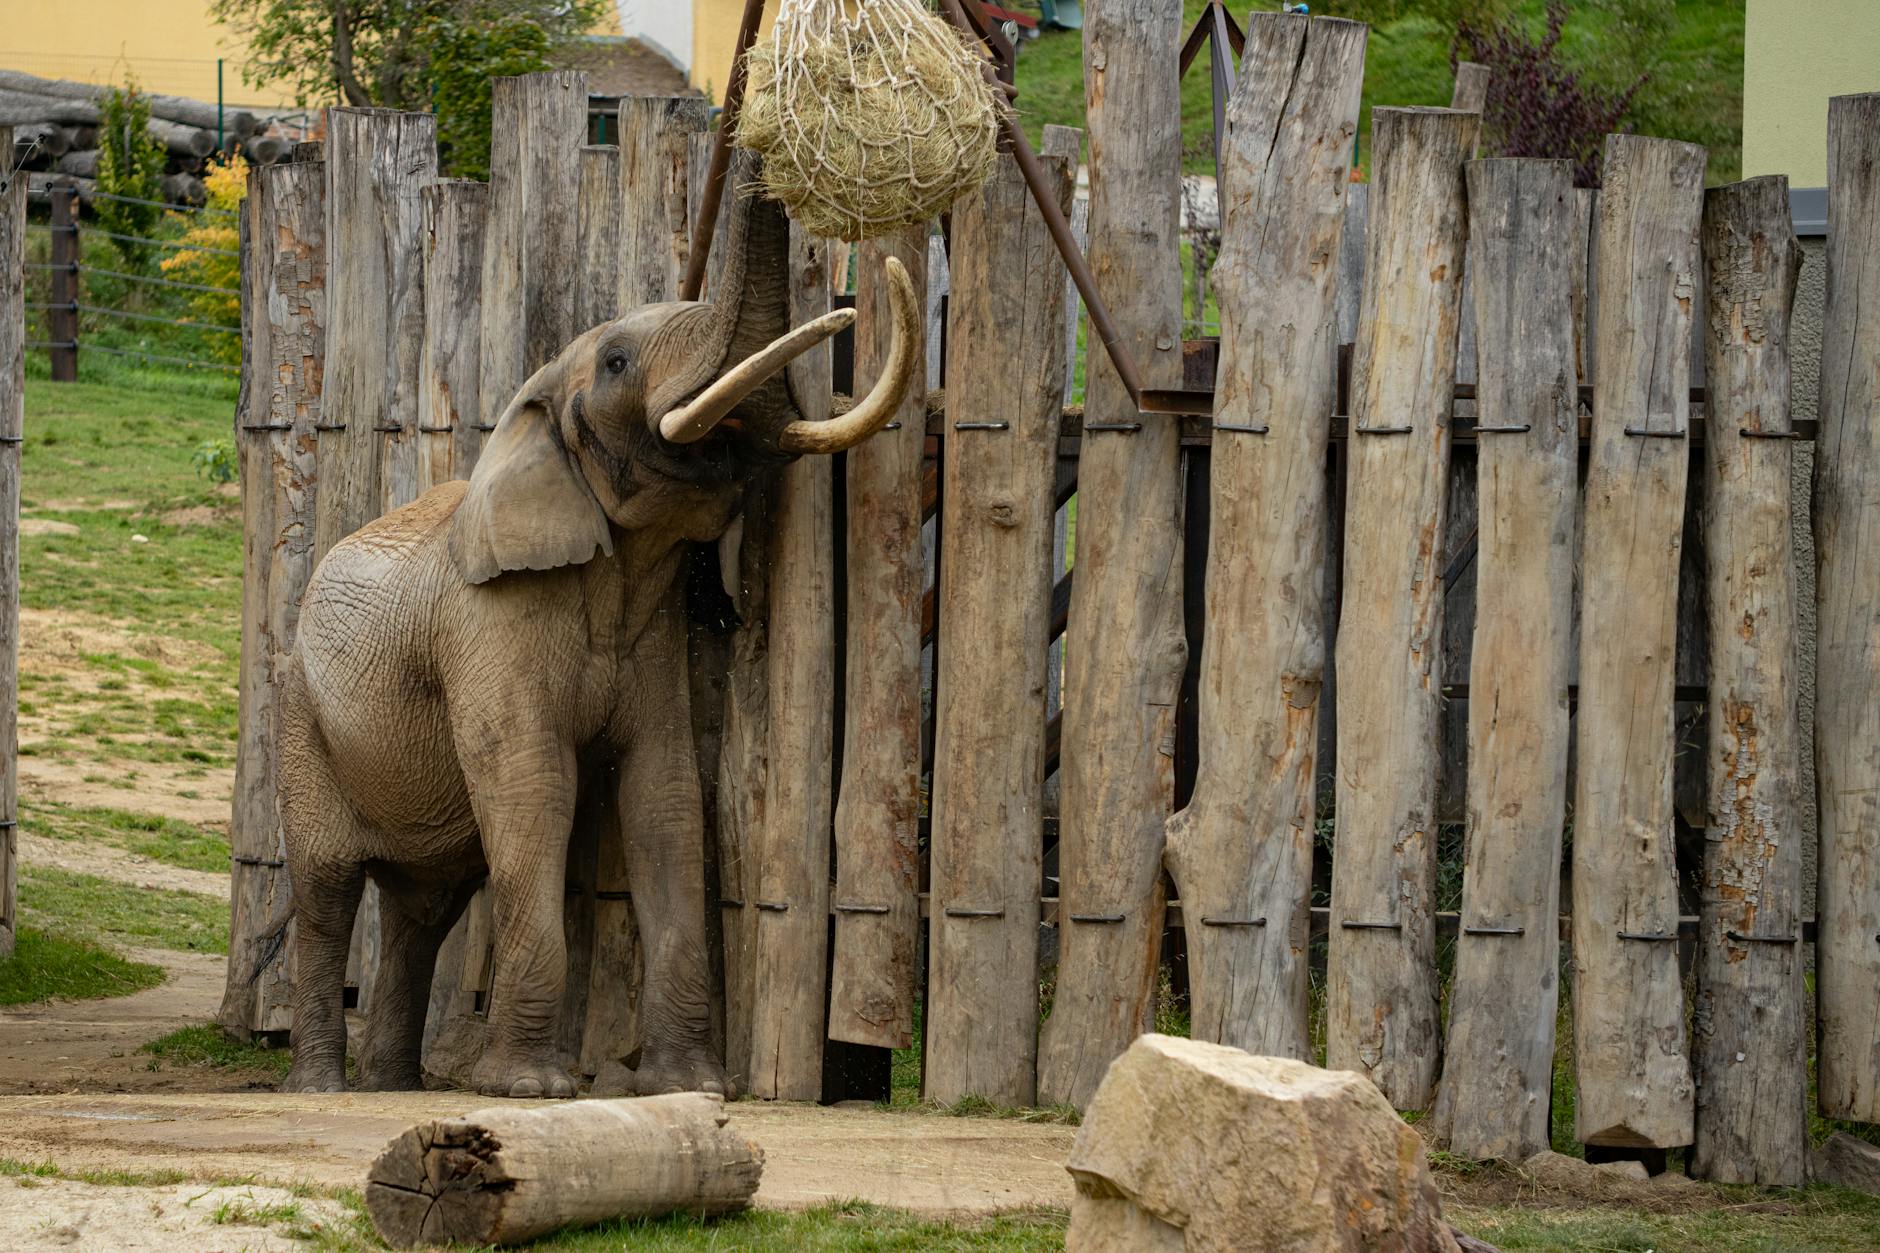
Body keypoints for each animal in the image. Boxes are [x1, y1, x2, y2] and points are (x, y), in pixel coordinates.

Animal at [272, 187, 919, 1098]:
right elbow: (536, 788)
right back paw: (325, 1089)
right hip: (301, 720)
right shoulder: (486, 630)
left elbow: (667, 796)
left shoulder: (652, 641)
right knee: (328, 891)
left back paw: (391, 1086)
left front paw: (689, 1087)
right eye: (615, 362)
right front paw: (530, 1091)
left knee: (422, 907)